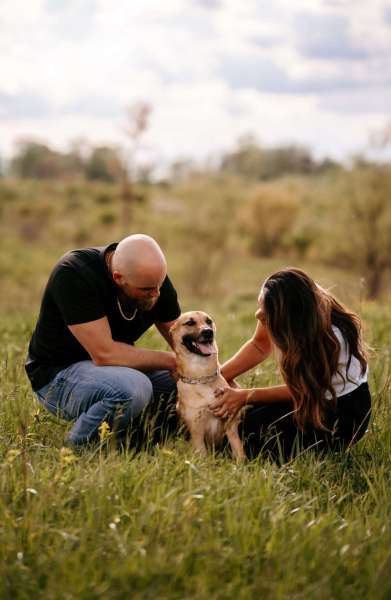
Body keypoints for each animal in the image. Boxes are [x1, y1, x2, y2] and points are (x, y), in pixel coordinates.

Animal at [171, 312, 245, 462]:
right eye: (190, 323)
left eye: (209, 321)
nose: (208, 332)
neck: (202, 377)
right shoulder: (197, 432)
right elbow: (202, 456)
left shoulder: (231, 426)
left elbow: (239, 452)